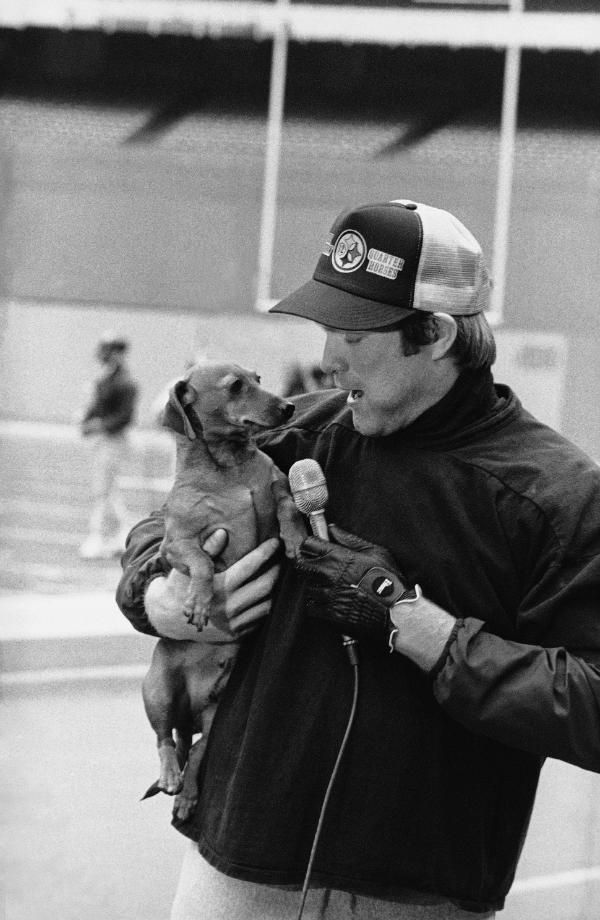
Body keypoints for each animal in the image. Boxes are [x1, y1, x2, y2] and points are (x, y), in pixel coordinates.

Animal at [138, 362, 302, 820]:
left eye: (259, 379)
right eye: (235, 387)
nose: (289, 406)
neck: (229, 469)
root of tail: (189, 714)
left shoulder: (278, 487)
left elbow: (286, 504)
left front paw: (296, 536)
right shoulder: (176, 545)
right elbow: (202, 561)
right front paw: (197, 600)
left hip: (215, 714)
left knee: (194, 752)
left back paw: (189, 793)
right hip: (157, 690)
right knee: (164, 740)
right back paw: (170, 775)